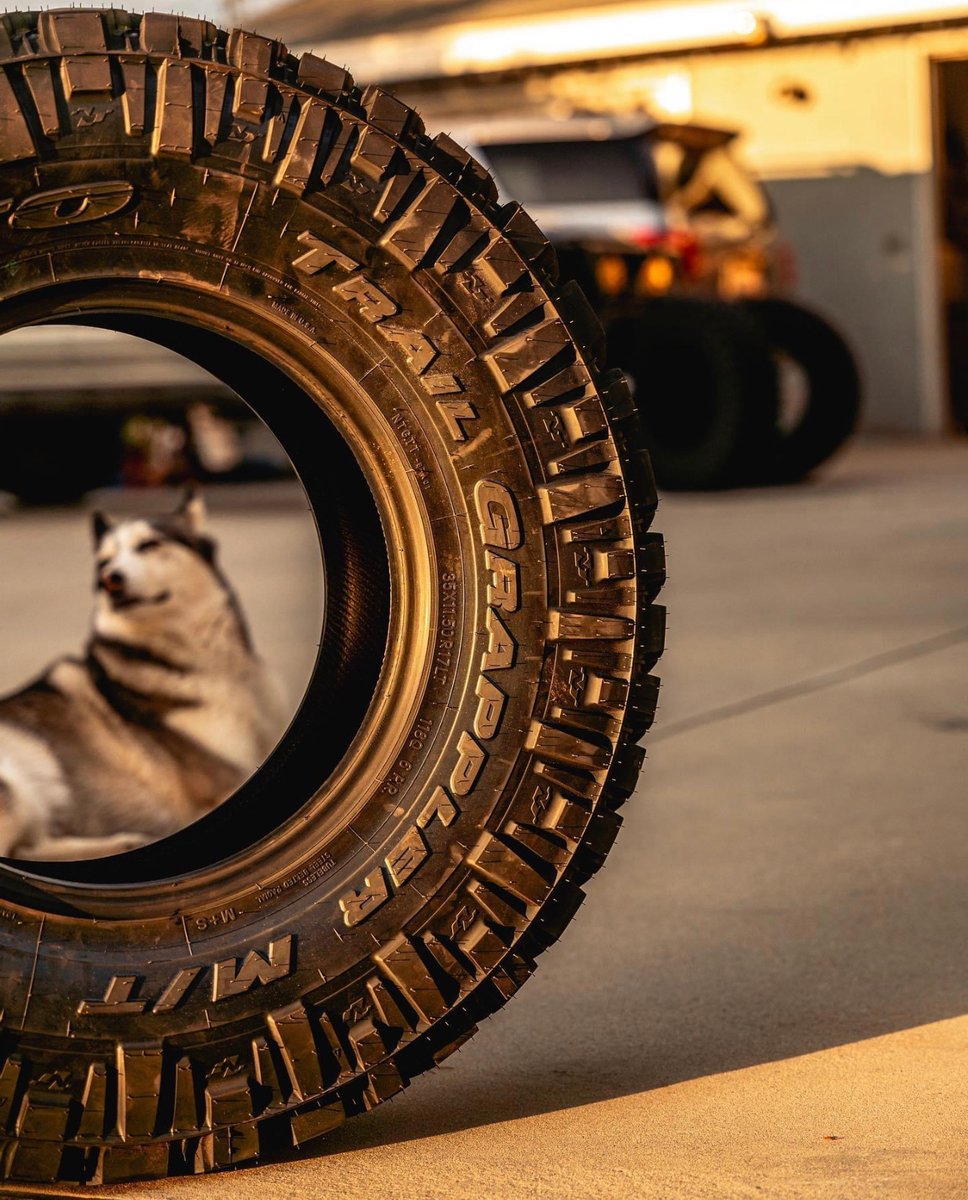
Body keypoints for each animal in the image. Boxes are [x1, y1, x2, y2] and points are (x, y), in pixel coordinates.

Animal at [0, 489, 287, 864]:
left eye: (149, 545)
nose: (108, 579)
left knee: (25, 848)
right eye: (103, 562)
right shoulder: (220, 782)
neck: (224, 673)